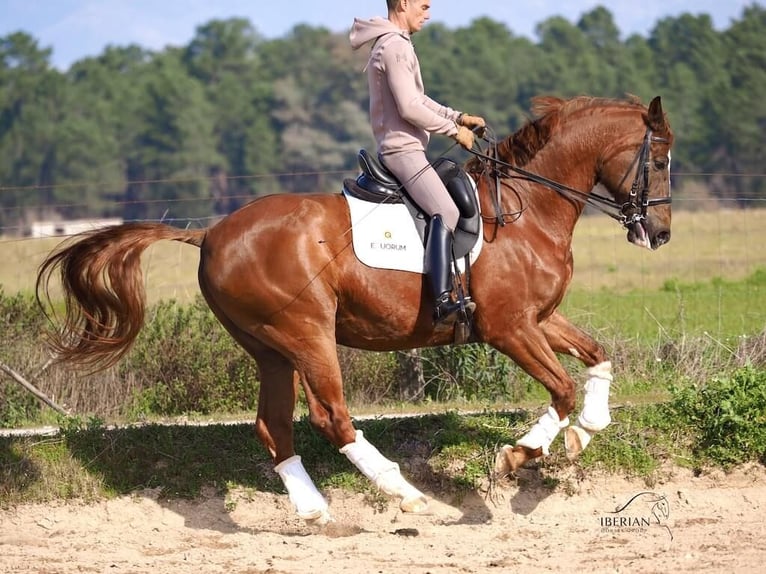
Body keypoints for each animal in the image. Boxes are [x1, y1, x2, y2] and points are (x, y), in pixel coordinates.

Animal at [36, 95, 674, 525]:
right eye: (662, 159)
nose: (660, 234)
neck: (528, 209)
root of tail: (211, 233)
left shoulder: (538, 319)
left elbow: (597, 358)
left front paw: (586, 430)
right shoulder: (508, 327)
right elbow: (560, 388)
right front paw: (517, 456)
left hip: (269, 347)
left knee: (273, 425)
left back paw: (316, 511)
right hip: (307, 333)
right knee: (331, 417)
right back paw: (405, 494)